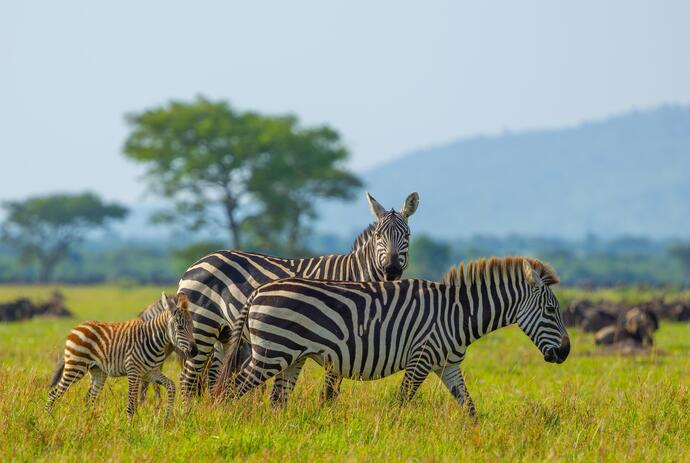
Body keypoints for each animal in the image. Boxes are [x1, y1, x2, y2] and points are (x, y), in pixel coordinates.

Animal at [45, 296, 196, 418]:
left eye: (192, 326)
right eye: (180, 327)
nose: (194, 351)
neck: (153, 340)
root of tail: (78, 326)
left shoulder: (150, 372)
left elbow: (171, 386)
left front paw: (166, 418)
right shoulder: (133, 371)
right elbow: (131, 406)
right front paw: (130, 430)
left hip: (98, 371)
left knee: (89, 399)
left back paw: (89, 423)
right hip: (75, 366)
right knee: (53, 394)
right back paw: (50, 419)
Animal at [175, 190, 416, 400]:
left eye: (407, 235)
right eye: (378, 236)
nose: (392, 270)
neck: (355, 274)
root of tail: (197, 262)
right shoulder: (341, 340)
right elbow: (330, 391)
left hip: (224, 333)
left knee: (210, 378)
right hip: (202, 325)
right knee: (188, 379)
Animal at [215, 256, 568, 416]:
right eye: (552, 311)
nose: (565, 353)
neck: (457, 314)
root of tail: (259, 291)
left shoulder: (448, 365)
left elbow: (469, 406)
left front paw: (477, 439)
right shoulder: (421, 358)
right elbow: (401, 402)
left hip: (291, 357)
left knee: (276, 401)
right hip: (270, 353)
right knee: (229, 390)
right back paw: (221, 423)